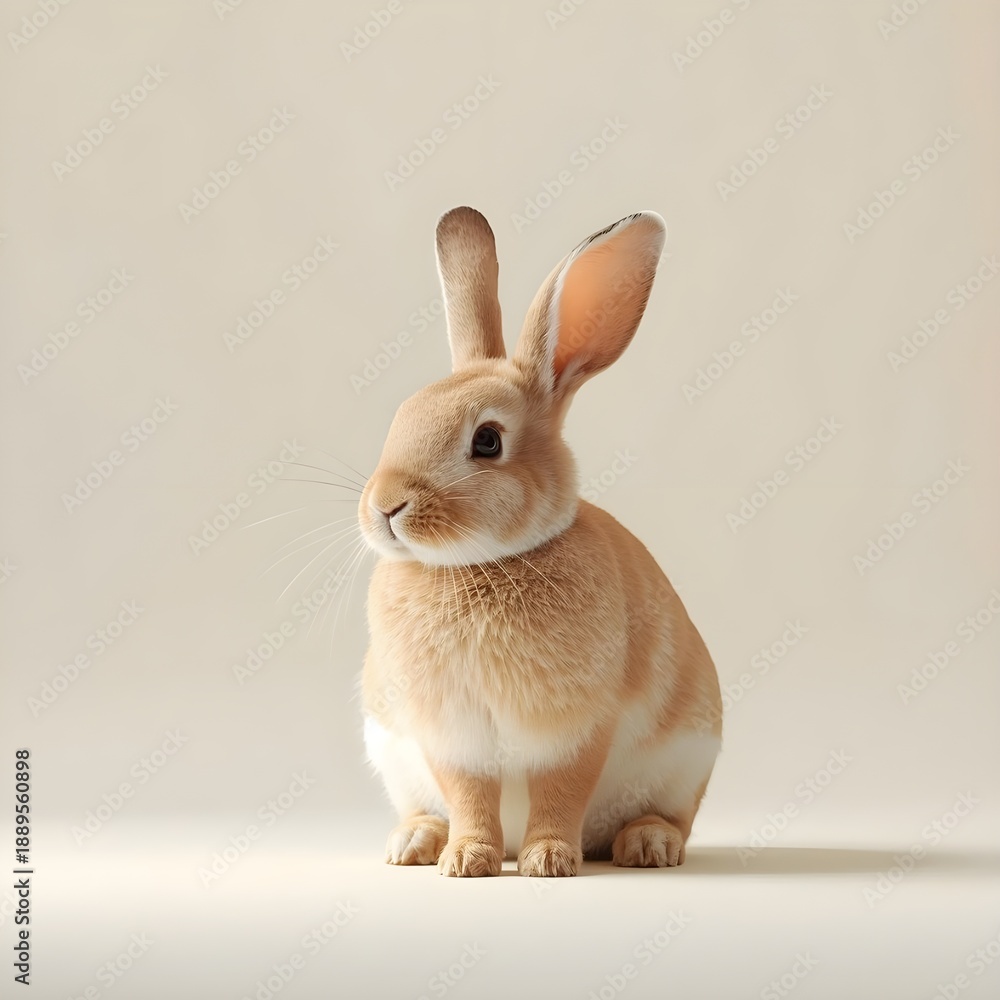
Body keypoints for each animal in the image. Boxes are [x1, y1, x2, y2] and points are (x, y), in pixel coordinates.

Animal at [358, 206, 722, 877]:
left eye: (487, 441)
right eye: (401, 418)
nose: (384, 506)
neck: (479, 564)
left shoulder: (575, 731)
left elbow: (561, 790)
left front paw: (549, 860)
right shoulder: (453, 737)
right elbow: (469, 795)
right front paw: (467, 861)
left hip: (687, 763)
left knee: (671, 817)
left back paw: (647, 845)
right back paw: (414, 843)